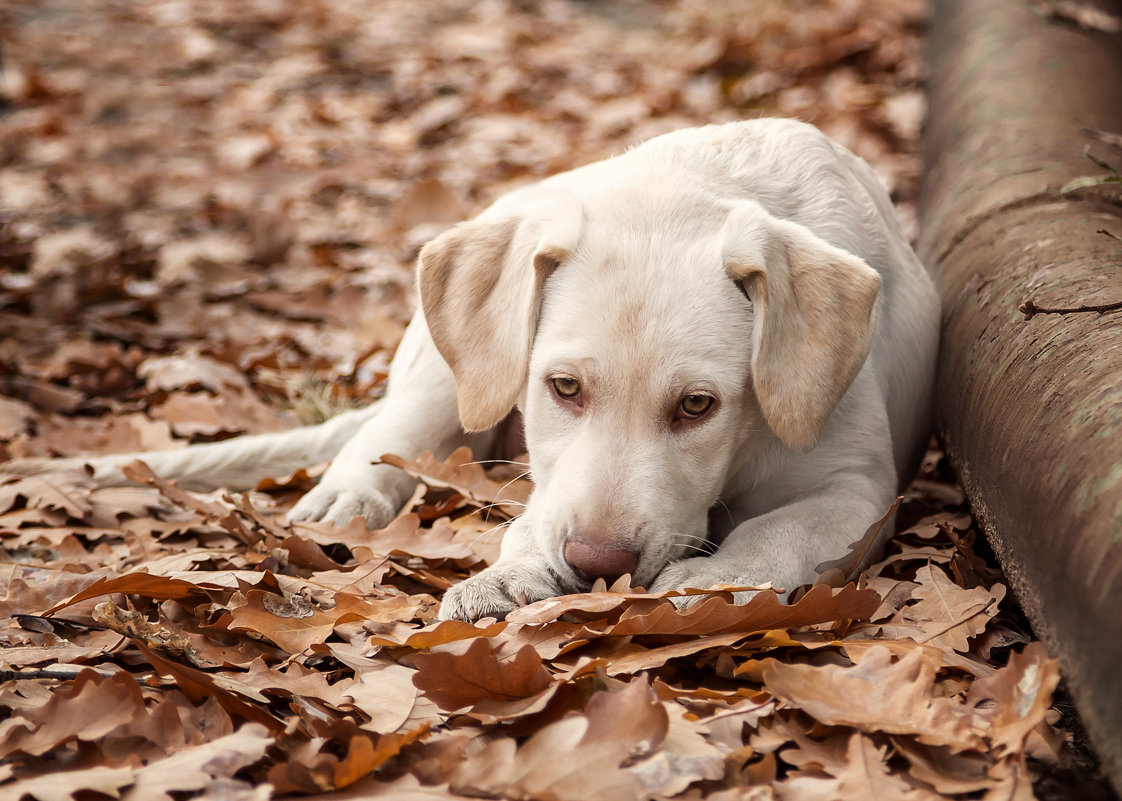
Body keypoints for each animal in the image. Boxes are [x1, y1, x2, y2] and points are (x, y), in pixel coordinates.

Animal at [8, 118, 937, 619]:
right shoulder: (547, 472)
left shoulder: (855, 487)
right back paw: (350, 494)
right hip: (441, 362)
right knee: (394, 429)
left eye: (698, 406)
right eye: (563, 387)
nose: (596, 564)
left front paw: (711, 575)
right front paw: (511, 572)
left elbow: (775, 532)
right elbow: (531, 518)